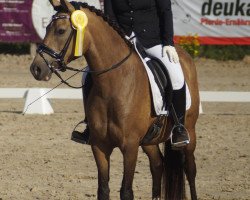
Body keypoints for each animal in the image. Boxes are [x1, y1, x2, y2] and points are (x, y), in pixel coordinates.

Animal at [30, 0, 199, 199]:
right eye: (47, 27)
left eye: (61, 31)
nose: (36, 69)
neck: (114, 84)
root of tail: (184, 55)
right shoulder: (100, 146)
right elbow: (103, 189)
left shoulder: (130, 147)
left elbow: (126, 191)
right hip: (149, 140)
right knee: (158, 165)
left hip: (189, 132)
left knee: (190, 169)